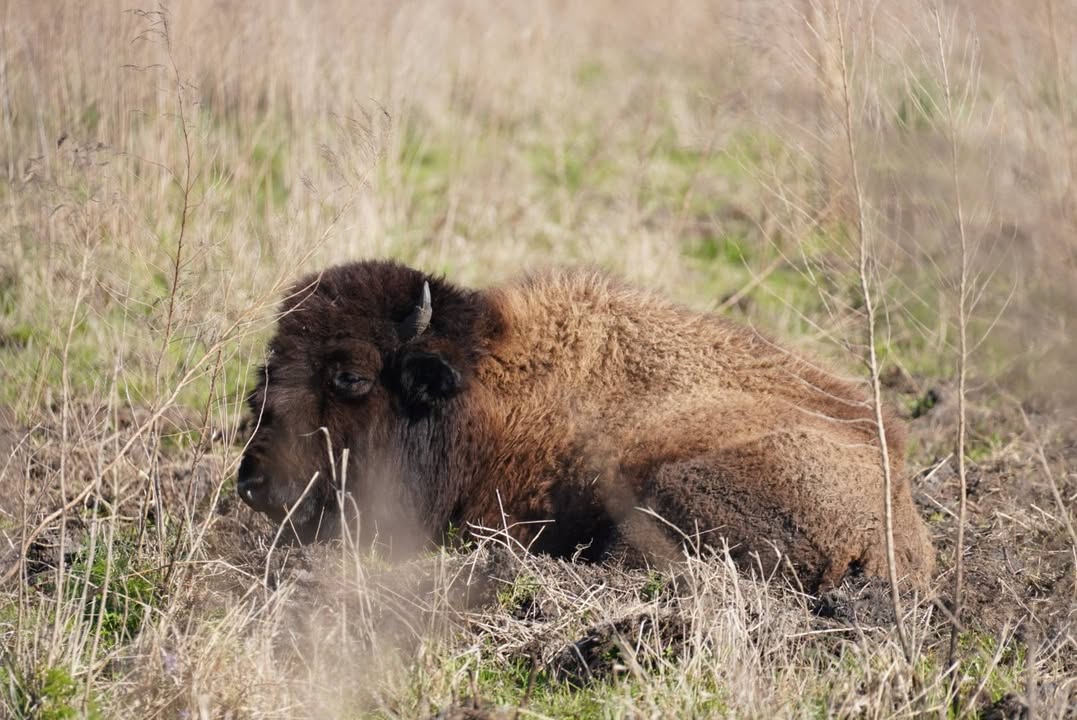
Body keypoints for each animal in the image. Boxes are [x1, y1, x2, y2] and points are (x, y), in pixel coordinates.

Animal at [237, 260, 935, 590]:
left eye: (351, 376)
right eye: (270, 363)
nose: (254, 483)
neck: (486, 382)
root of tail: (900, 535)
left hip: (672, 490)